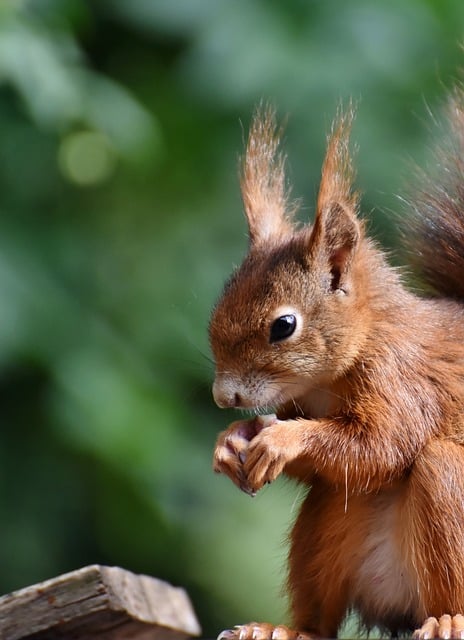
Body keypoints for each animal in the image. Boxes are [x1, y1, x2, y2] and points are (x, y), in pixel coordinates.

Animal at [209, 94, 464, 640]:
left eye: (283, 325)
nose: (223, 397)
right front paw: (232, 440)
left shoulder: (401, 377)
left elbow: (383, 445)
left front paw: (283, 439)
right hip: (330, 523)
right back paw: (283, 629)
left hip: (449, 484)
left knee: (434, 466)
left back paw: (448, 619)